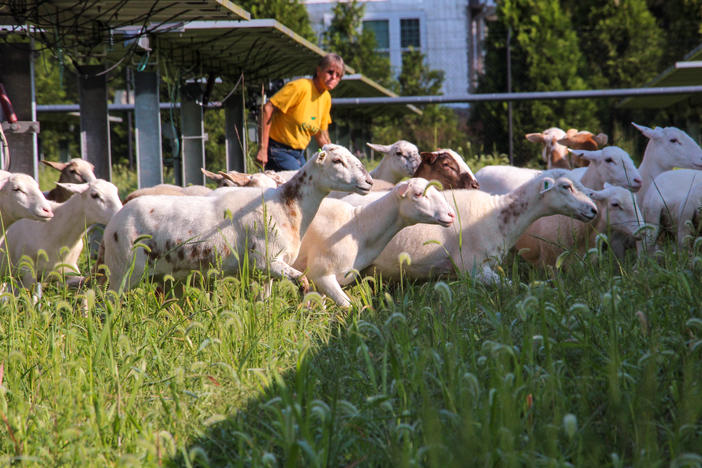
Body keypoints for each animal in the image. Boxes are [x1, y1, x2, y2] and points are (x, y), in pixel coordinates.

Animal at [102, 144, 374, 294]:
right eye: (337, 161)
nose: (369, 181)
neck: (288, 206)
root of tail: (113, 222)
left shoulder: (265, 273)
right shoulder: (267, 262)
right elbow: (304, 282)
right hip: (122, 272)